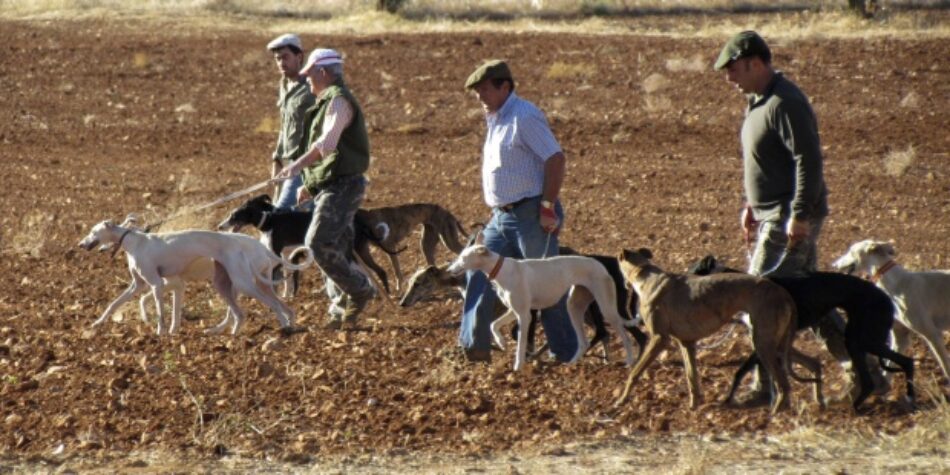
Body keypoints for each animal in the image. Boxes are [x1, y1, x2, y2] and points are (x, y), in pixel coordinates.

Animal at [218, 195, 400, 296]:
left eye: (234, 216)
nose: (220, 226)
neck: (271, 220)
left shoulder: (280, 255)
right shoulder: (288, 256)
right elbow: (288, 278)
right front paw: (288, 295)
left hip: (353, 254)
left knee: (372, 273)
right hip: (356, 252)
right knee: (371, 273)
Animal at [692, 255, 916, 410]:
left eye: (694, 271)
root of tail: (884, 296)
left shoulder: (764, 340)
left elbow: (740, 371)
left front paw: (727, 399)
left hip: (861, 338)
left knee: (899, 365)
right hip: (859, 338)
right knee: (894, 367)